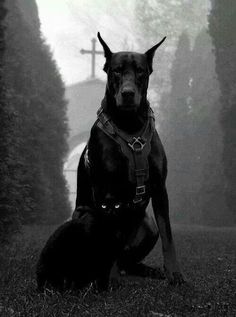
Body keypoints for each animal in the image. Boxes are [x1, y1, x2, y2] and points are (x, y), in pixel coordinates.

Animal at [72, 32, 184, 284]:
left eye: (141, 71)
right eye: (116, 70)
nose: (128, 93)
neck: (130, 124)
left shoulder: (160, 187)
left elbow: (168, 235)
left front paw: (174, 273)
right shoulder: (107, 193)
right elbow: (109, 236)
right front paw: (111, 279)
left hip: (148, 225)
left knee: (128, 260)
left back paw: (146, 270)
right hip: (82, 215)